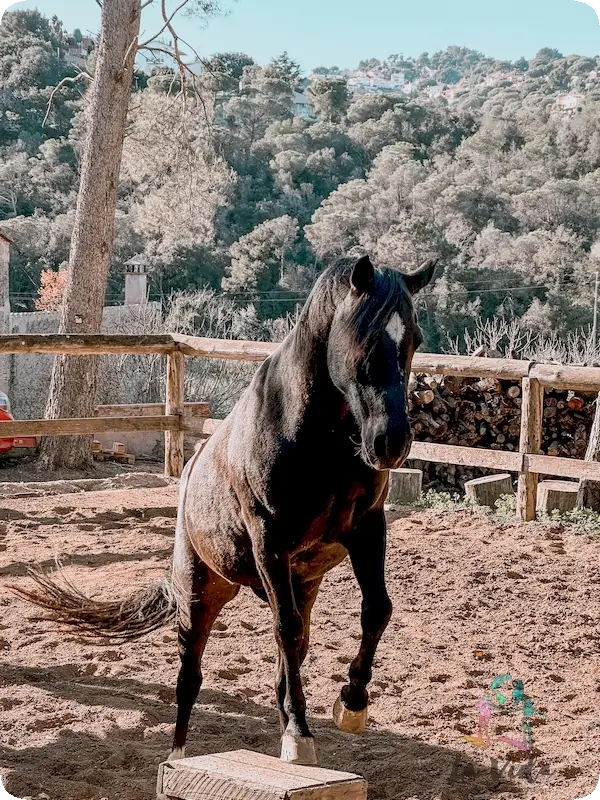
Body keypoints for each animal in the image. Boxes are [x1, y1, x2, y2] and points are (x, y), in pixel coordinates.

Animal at [19, 254, 436, 766]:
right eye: (364, 337)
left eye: (414, 339)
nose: (391, 443)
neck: (318, 437)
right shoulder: (269, 539)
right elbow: (285, 630)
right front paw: (300, 734)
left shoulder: (367, 529)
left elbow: (375, 610)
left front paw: (351, 703)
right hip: (202, 593)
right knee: (191, 677)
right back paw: (178, 756)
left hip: (299, 584)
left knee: (288, 659)